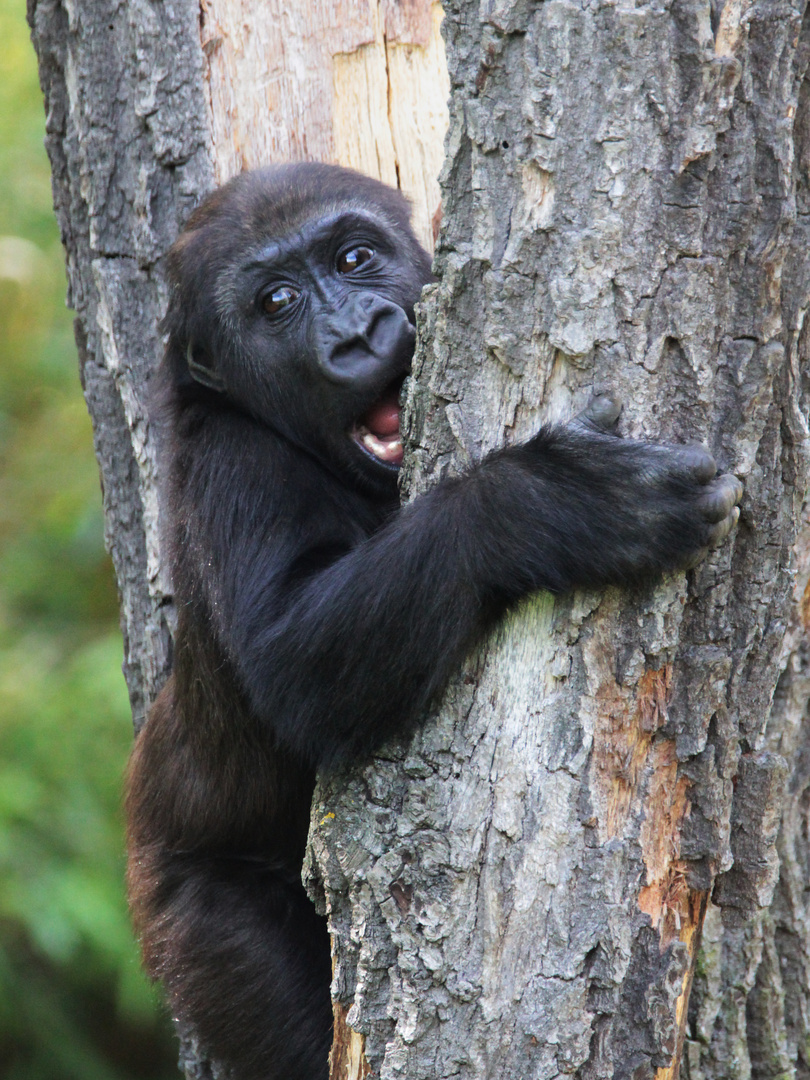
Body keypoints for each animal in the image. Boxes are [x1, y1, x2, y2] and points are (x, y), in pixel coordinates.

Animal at [125, 159, 743, 1080]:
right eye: (277, 303)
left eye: (353, 259)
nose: (355, 333)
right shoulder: (232, 465)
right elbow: (295, 663)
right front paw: (547, 501)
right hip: (191, 920)